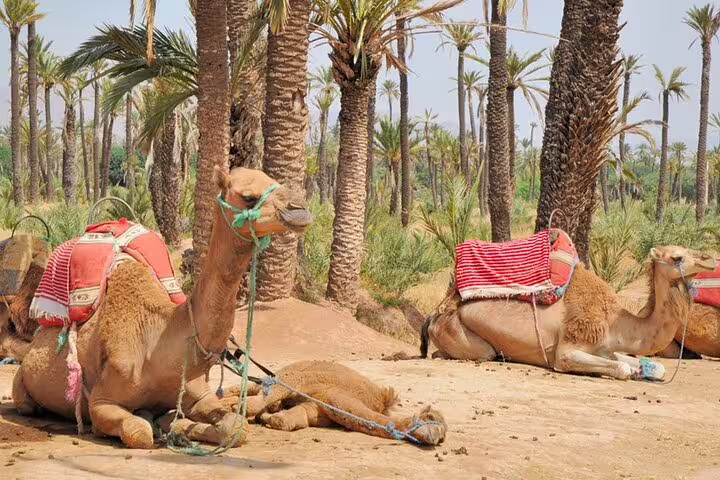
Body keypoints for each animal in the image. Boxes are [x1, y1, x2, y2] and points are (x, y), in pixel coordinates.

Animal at [11, 166, 312, 449]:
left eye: (274, 180)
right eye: (249, 197)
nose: (301, 210)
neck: (158, 343)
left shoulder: (198, 394)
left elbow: (236, 427)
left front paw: (176, 426)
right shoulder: (101, 401)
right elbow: (139, 432)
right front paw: (157, 425)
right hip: (21, 386)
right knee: (27, 404)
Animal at [217, 360, 447, 446]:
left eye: (444, 434)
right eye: (430, 417)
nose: (436, 439)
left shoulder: (318, 408)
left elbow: (288, 420)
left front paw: (268, 417)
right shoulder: (303, 381)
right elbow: (271, 395)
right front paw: (241, 408)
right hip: (285, 372)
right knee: (252, 385)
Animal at [420, 246, 716, 381]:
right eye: (677, 257)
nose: (711, 258)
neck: (615, 323)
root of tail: (435, 313)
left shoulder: (605, 348)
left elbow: (650, 365)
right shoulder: (568, 349)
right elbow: (621, 368)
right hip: (465, 336)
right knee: (477, 353)